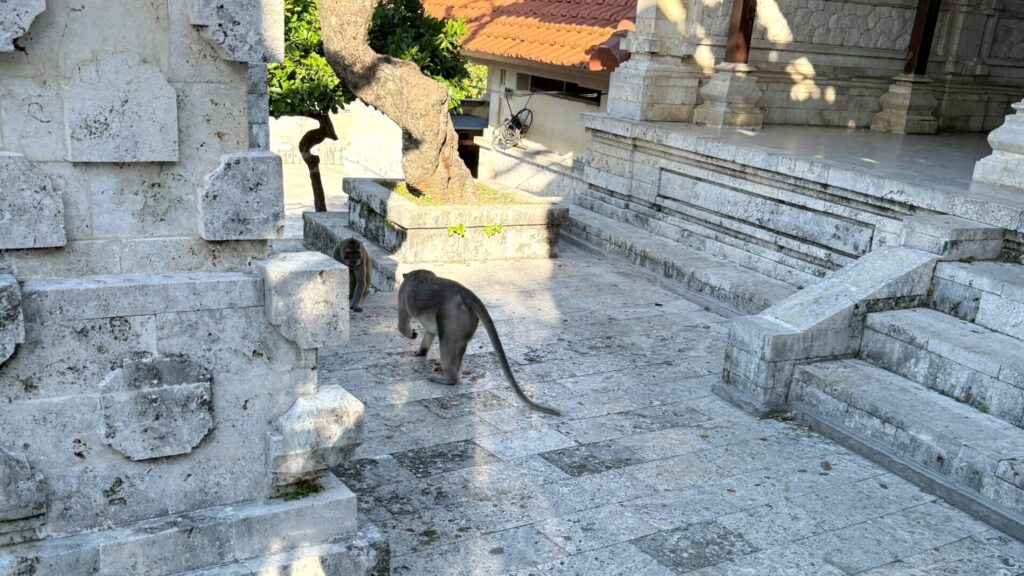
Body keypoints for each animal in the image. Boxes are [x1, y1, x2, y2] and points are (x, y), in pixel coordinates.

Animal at [398, 269, 562, 416]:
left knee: (447, 342)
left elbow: (402, 325)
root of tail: (463, 291)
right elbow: (430, 332)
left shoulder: (403, 292)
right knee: (457, 345)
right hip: (467, 319)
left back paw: (449, 379)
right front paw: (421, 352)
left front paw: (411, 335)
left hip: (452, 314)